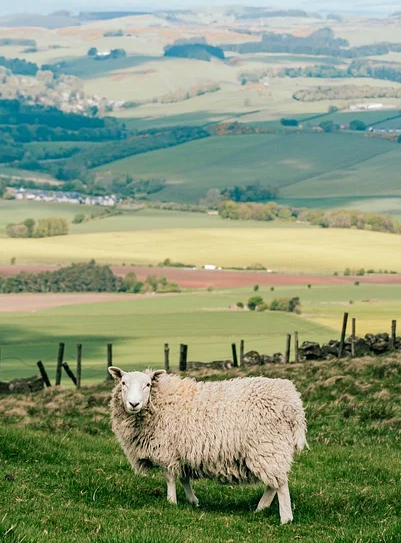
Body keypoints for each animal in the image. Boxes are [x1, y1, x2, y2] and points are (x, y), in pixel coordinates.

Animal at [108, 368, 304, 524]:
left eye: (148, 384)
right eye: (123, 383)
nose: (134, 404)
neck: (161, 402)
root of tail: (294, 403)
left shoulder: (167, 451)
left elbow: (170, 478)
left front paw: (171, 501)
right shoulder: (182, 452)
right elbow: (184, 478)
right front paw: (193, 501)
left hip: (268, 446)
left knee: (281, 483)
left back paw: (285, 518)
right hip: (270, 450)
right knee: (273, 483)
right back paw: (261, 508)